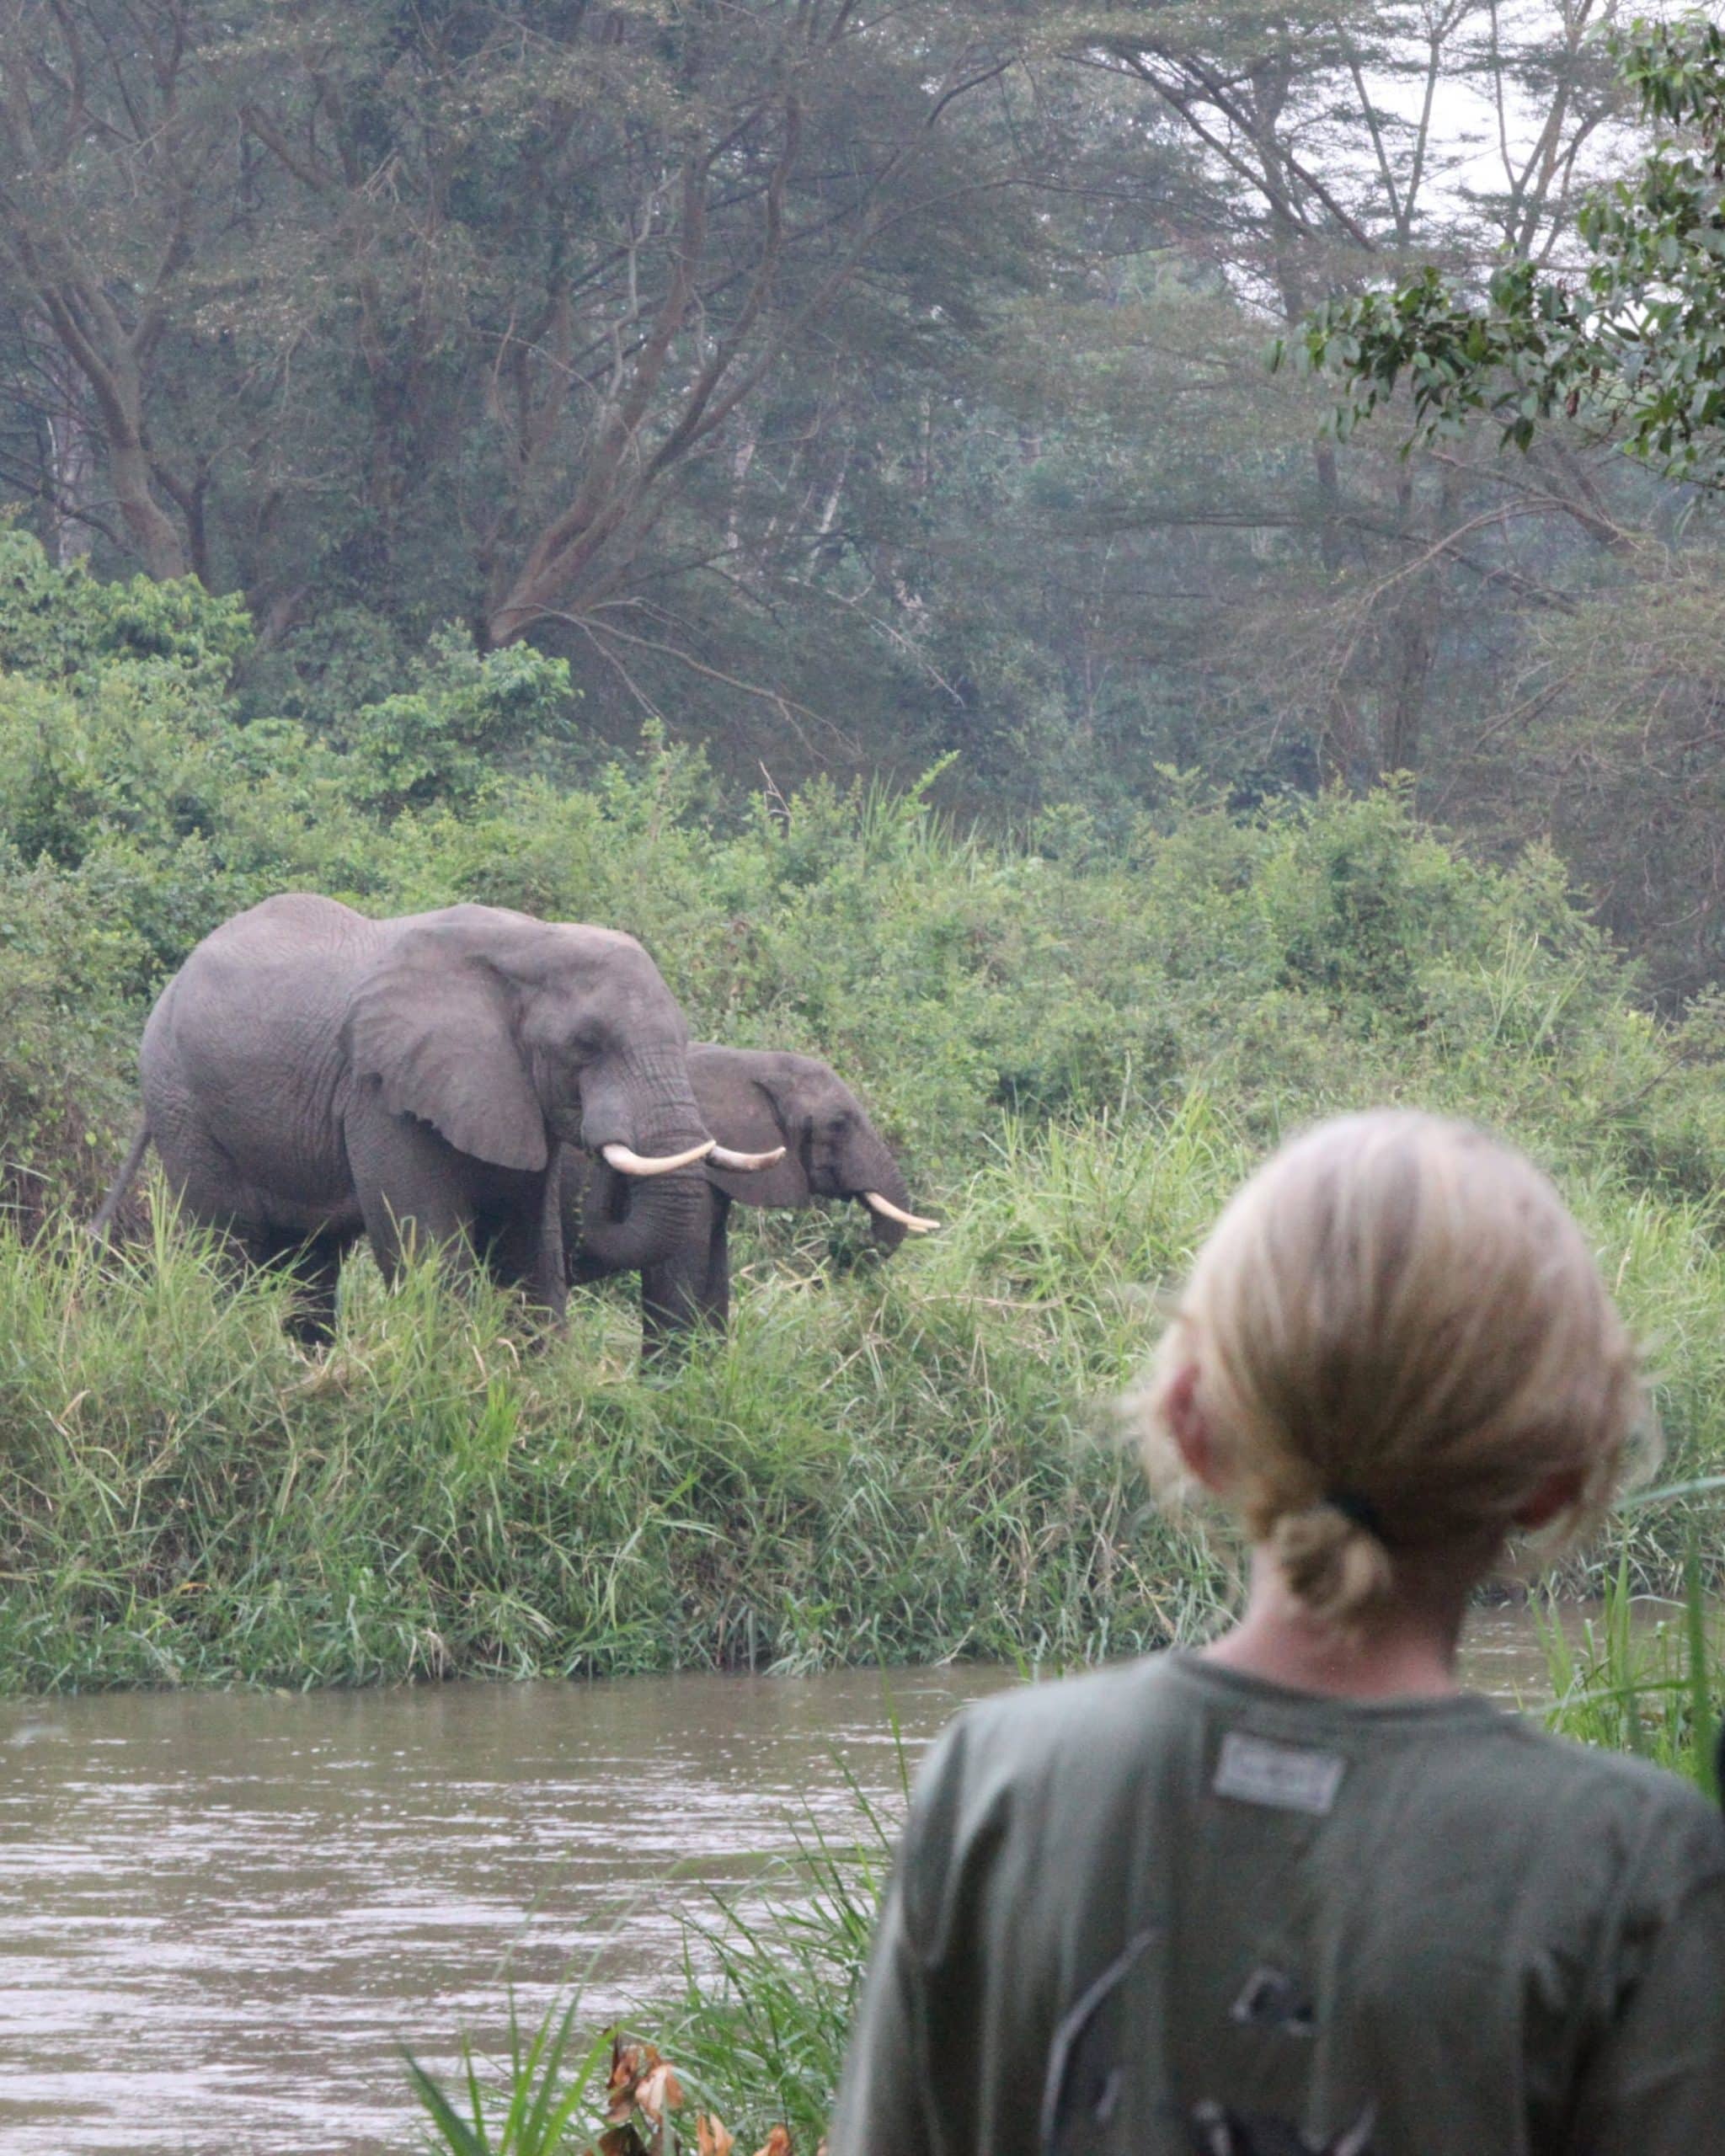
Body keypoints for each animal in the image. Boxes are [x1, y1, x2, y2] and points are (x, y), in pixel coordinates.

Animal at [87, 888, 776, 1327]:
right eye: (586, 1045)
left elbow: (530, 1255)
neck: (530, 942)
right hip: (181, 1099)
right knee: (224, 1246)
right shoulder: (381, 1091)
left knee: (312, 1265)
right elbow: (427, 1251)